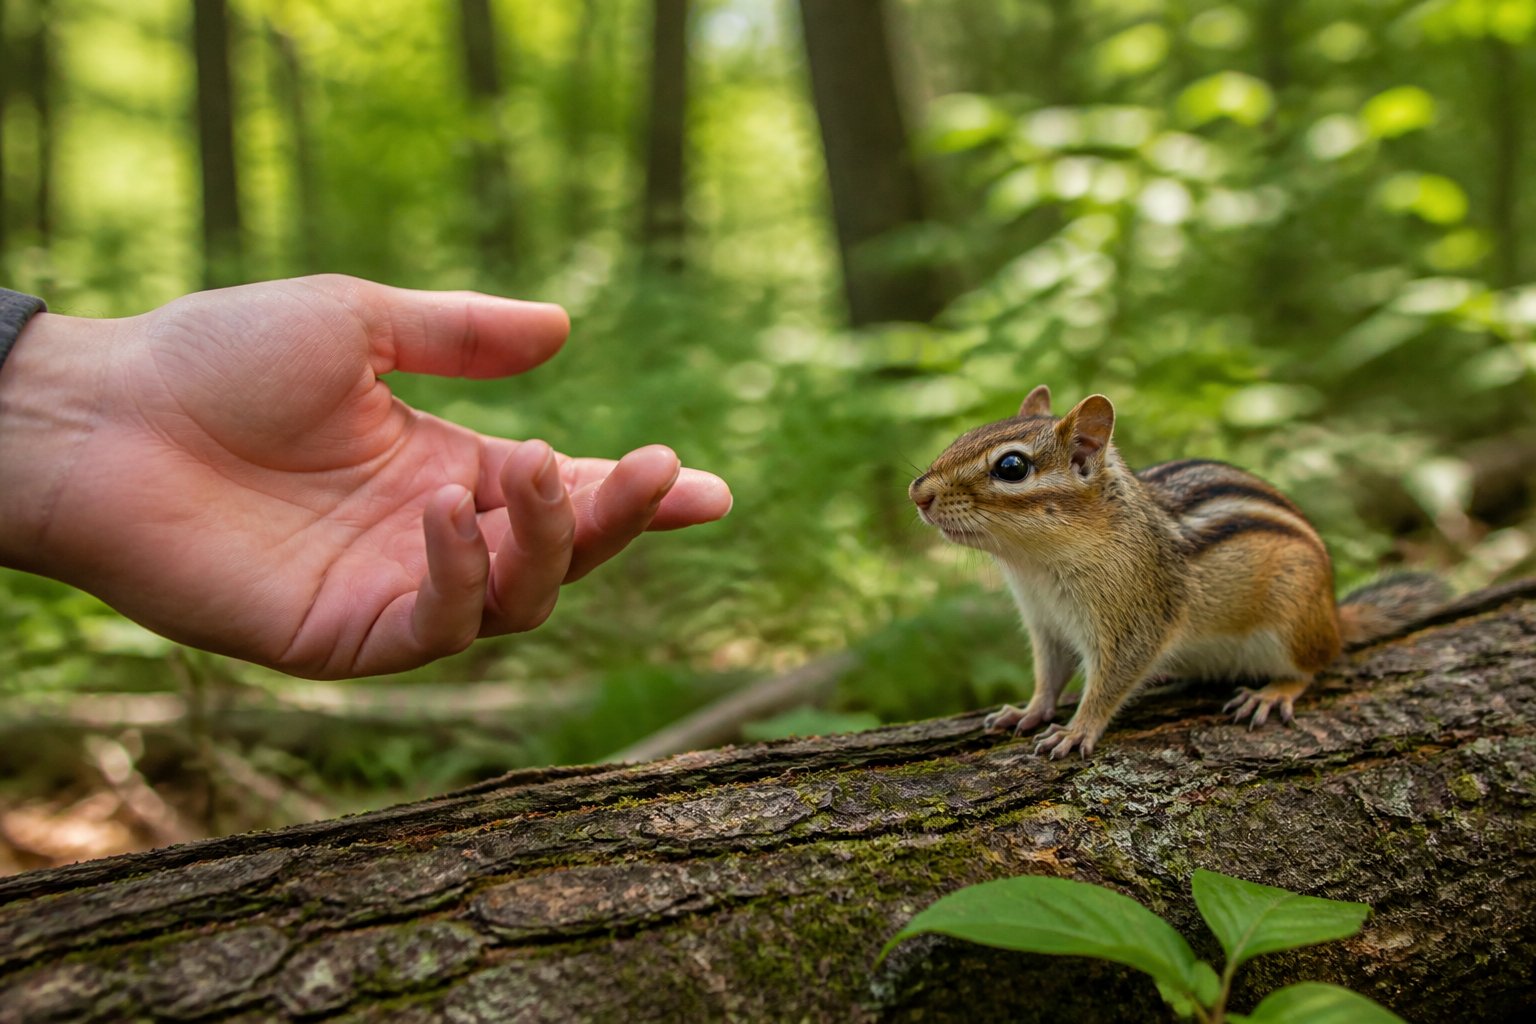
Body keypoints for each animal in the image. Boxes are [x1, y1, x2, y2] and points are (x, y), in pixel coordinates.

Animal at [909, 384, 1449, 758]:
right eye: (964, 436)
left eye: (1012, 467)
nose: (918, 494)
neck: (1035, 567)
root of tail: (1333, 616)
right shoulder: (1046, 626)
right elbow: (1049, 676)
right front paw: (1028, 711)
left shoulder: (1135, 622)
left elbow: (1107, 684)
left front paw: (1077, 730)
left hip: (1292, 620)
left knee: (1314, 665)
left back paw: (1273, 692)